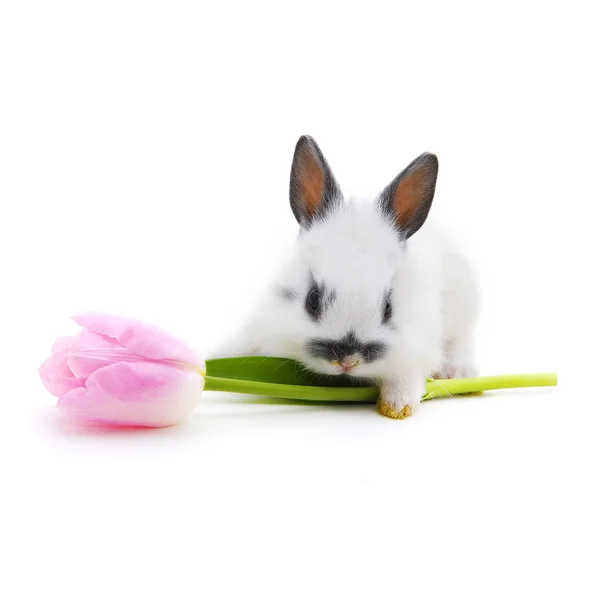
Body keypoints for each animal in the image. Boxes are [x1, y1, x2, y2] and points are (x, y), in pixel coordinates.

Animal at [214, 135, 478, 420]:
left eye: (388, 307)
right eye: (312, 299)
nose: (347, 360)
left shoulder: (416, 345)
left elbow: (406, 376)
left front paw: (397, 407)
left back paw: (461, 373)